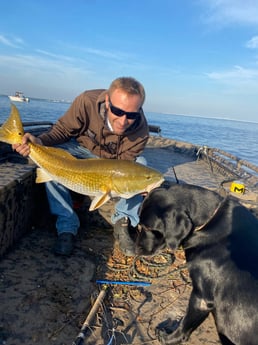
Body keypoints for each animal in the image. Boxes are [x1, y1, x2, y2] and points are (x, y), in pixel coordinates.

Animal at [129, 184, 258, 344]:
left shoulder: (201, 298)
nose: (135, 249)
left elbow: (185, 324)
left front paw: (169, 337)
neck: (209, 222)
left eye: (147, 227)